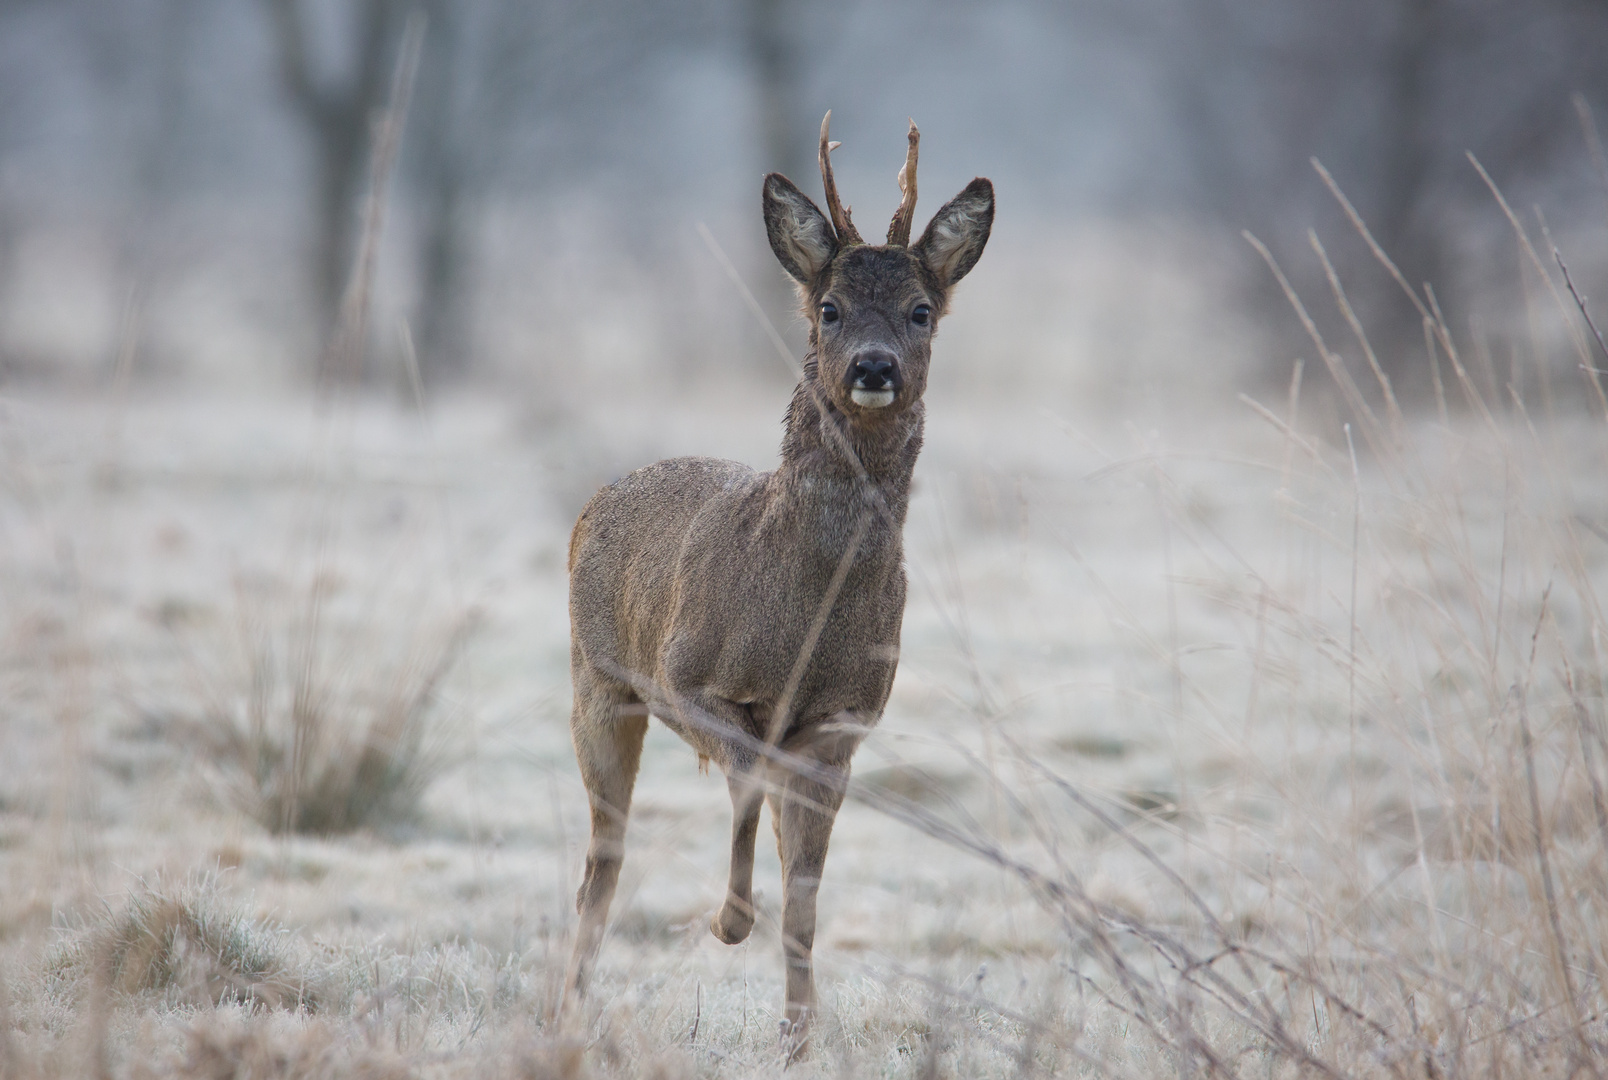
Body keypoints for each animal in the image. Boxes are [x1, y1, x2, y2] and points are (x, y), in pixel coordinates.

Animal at [566, 111, 990, 1054]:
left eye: (921, 311)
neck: (807, 613)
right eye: (828, 308)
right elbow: (748, 782)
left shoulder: (841, 723)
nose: (874, 367)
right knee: (602, 861)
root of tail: (598, 498)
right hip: (598, 683)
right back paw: (567, 1008)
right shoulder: (689, 677)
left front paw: (797, 1036)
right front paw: (727, 922)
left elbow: (805, 898)